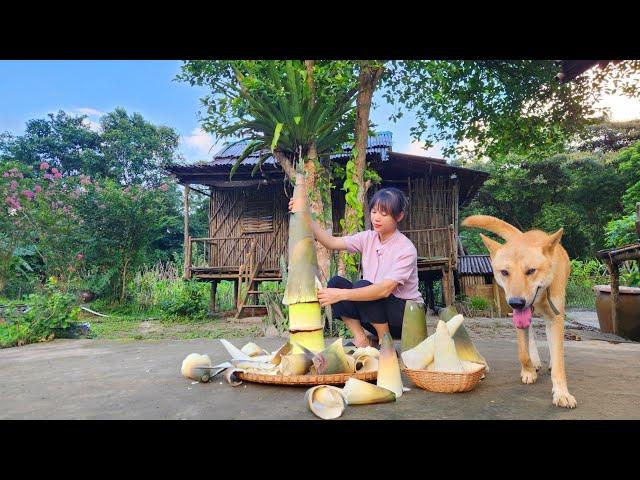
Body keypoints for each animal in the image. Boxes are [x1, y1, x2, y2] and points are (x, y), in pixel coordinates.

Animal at [462, 216, 576, 406]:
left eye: (531, 271)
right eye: (504, 272)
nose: (516, 303)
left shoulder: (555, 317)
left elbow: (559, 361)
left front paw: (562, 393)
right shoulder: (519, 317)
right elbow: (523, 353)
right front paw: (528, 371)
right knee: (530, 334)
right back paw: (535, 361)